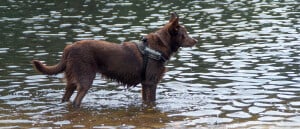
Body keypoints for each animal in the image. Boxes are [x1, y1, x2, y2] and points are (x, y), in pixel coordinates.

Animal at [31, 12, 198, 108]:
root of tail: (69, 48)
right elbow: (152, 100)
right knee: (76, 101)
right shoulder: (151, 82)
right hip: (85, 79)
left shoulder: (145, 84)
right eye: (184, 34)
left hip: (72, 80)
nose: (195, 40)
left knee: (65, 98)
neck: (159, 46)